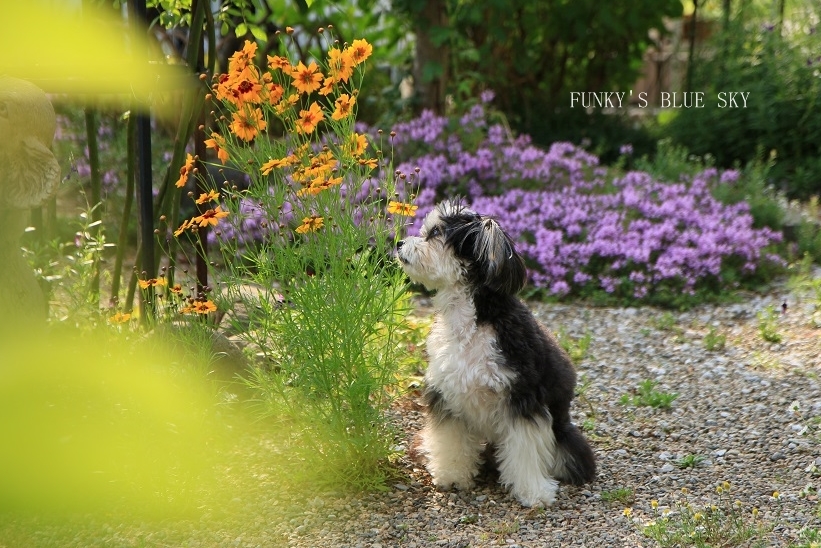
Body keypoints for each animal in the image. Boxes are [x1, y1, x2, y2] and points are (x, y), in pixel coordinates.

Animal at [396, 199, 592, 508]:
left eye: (436, 232)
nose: (399, 243)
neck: (470, 323)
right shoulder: (447, 397)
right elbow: (451, 440)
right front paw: (452, 475)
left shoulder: (523, 400)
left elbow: (525, 451)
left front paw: (533, 491)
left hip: (564, 439)